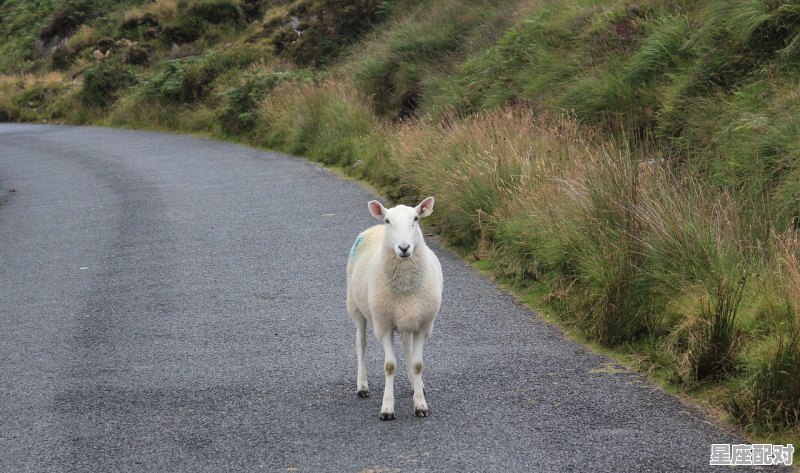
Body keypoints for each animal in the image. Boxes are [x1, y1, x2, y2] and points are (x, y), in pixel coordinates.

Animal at [346, 195, 444, 420]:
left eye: (416, 218)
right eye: (388, 221)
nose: (404, 248)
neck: (406, 287)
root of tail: (373, 228)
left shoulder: (424, 325)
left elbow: (417, 364)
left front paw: (420, 404)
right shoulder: (384, 325)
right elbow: (389, 366)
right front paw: (387, 408)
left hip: (407, 318)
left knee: (407, 347)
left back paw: (415, 385)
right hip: (356, 308)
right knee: (360, 343)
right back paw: (362, 386)